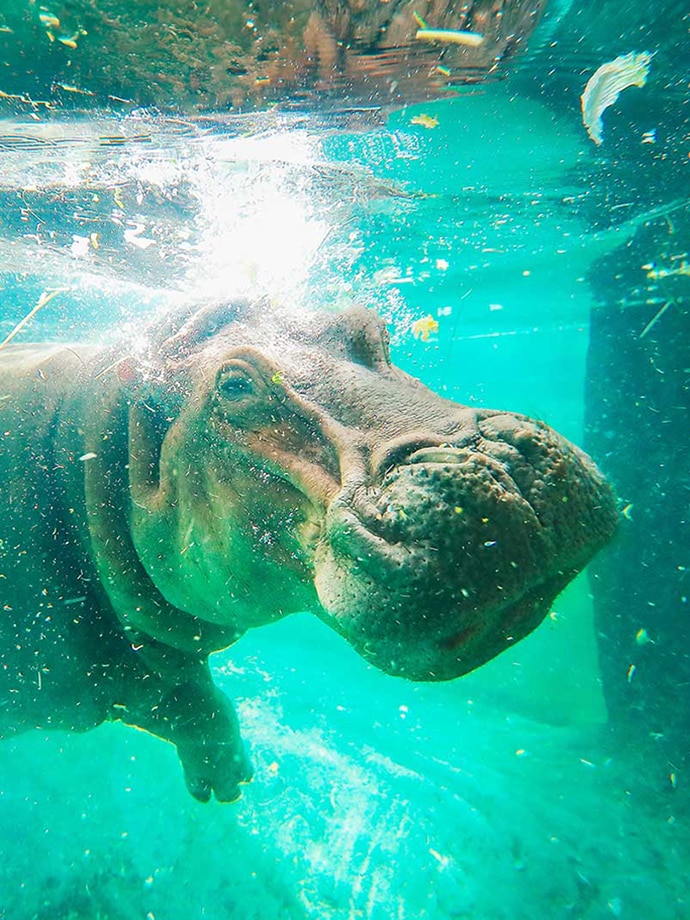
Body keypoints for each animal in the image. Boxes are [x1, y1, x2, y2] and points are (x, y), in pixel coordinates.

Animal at [0, 301, 617, 802]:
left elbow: (195, 702)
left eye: (371, 326)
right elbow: (183, 702)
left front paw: (228, 779)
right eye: (234, 386)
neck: (82, 448)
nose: (505, 466)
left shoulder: (142, 662)